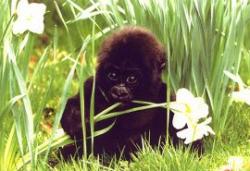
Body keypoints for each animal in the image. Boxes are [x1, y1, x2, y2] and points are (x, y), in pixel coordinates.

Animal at [59, 26, 202, 160]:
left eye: (131, 78)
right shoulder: (92, 85)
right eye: (113, 75)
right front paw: (78, 122)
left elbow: (187, 137)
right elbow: (74, 103)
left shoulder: (167, 98)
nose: (119, 92)